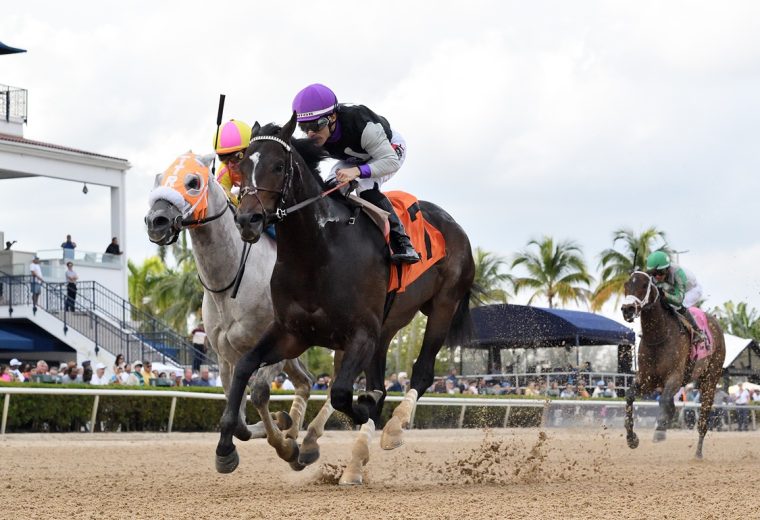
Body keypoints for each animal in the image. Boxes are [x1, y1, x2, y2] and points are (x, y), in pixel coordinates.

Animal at [144, 152, 316, 444]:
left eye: (193, 182)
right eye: (158, 180)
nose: (156, 221)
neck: (230, 283)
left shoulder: (275, 344)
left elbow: (259, 391)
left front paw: (280, 432)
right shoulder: (226, 357)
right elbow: (238, 420)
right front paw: (280, 425)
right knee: (305, 381)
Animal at [214, 116, 472, 486]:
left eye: (278, 166)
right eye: (244, 165)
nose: (247, 220)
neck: (318, 251)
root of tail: (453, 224)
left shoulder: (360, 333)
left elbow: (340, 392)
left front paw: (358, 411)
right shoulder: (292, 333)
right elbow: (246, 368)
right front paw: (227, 447)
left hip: (444, 306)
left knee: (422, 373)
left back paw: (394, 428)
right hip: (387, 327)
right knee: (380, 380)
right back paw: (354, 464)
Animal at [624, 270, 724, 458]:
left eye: (644, 285)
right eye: (626, 285)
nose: (627, 309)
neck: (658, 337)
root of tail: (715, 322)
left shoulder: (675, 377)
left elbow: (664, 400)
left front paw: (660, 431)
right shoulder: (648, 380)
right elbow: (630, 396)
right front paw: (631, 438)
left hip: (710, 379)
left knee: (703, 419)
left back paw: (698, 453)